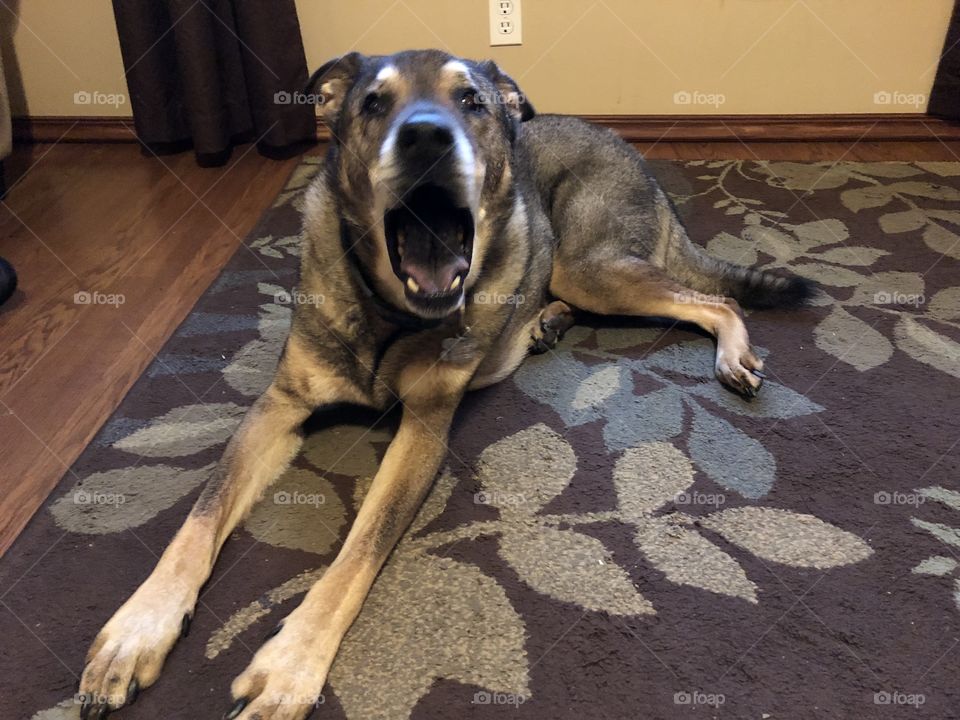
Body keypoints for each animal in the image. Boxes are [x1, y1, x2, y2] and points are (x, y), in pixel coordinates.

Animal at [79, 50, 808, 720]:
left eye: (472, 100)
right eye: (374, 103)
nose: (427, 137)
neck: (387, 314)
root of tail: (626, 146)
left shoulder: (423, 429)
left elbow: (358, 549)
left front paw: (290, 665)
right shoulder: (278, 408)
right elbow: (200, 517)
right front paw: (137, 631)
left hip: (590, 265)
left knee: (716, 301)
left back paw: (730, 355)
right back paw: (546, 321)